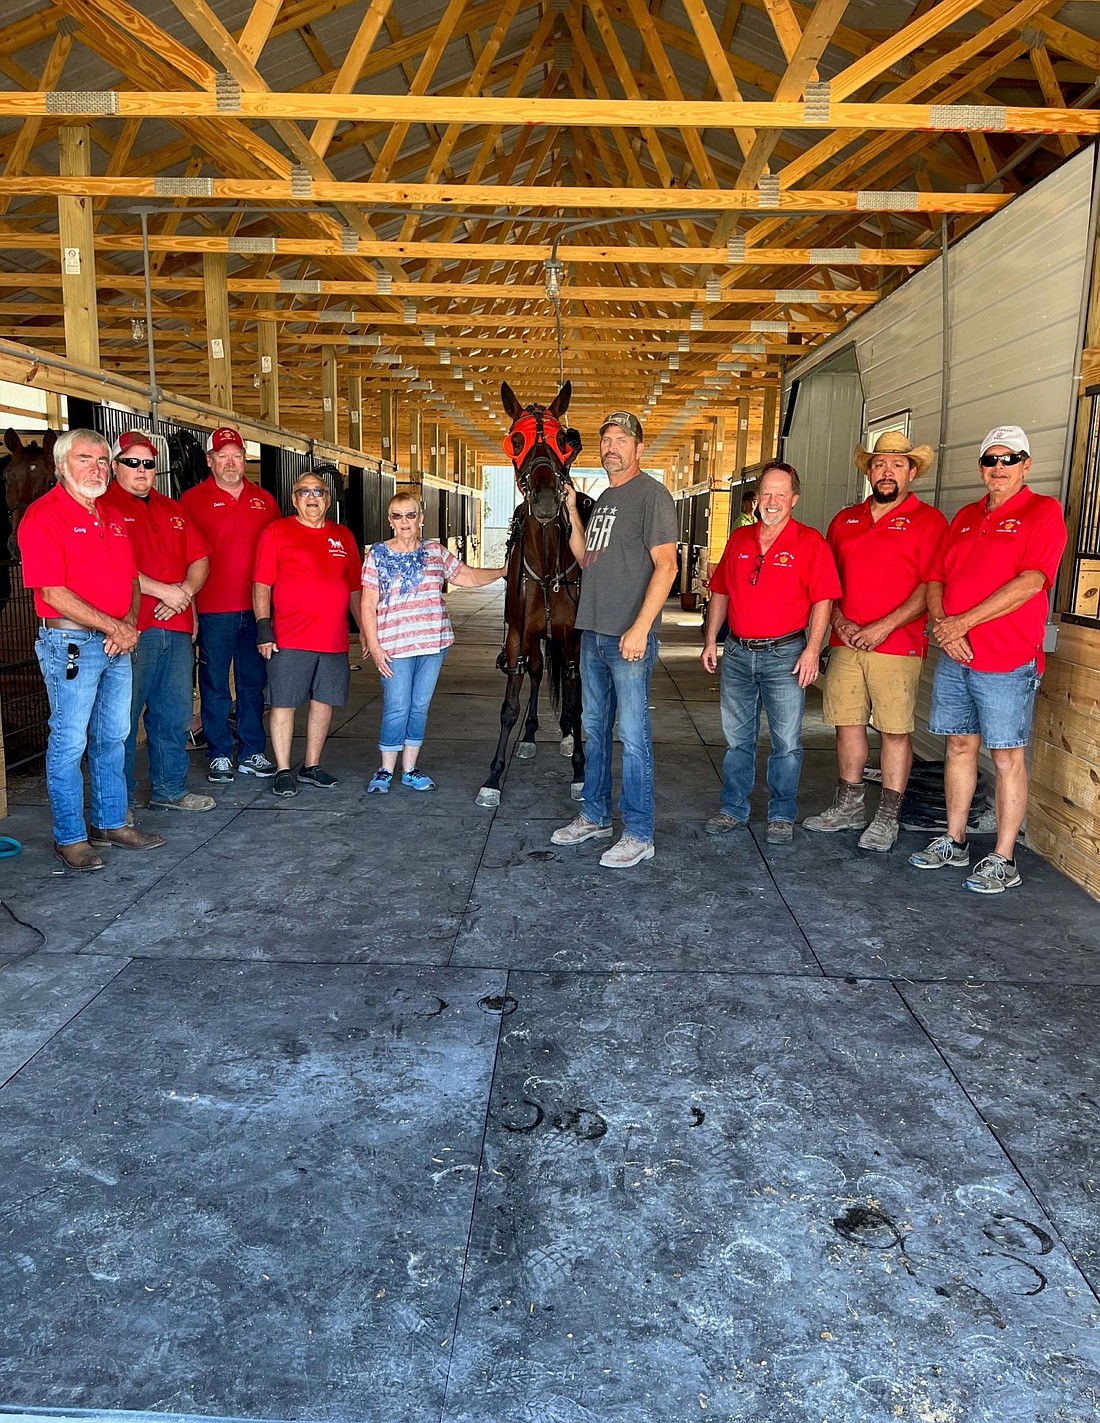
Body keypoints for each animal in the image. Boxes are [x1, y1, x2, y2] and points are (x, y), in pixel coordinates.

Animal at [475, 381, 591, 813]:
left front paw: (580, 772)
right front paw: (493, 777)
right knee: (539, 673)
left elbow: (575, 701)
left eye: (564, 441)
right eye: (516, 441)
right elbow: (510, 705)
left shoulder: (573, 638)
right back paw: (529, 737)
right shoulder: (517, 636)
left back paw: (568, 736)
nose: (544, 500)